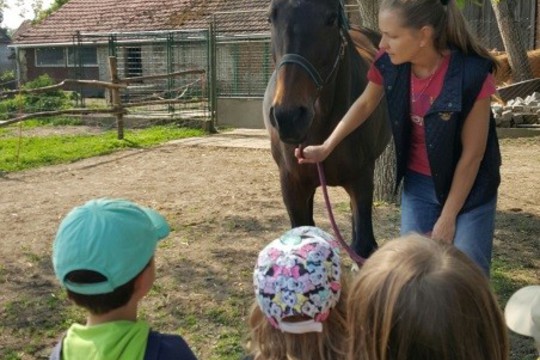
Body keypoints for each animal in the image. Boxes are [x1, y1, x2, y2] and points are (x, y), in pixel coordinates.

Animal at [264, 0, 390, 258]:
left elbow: (363, 245)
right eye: (271, 17)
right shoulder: (292, 185)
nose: (288, 117)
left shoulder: (362, 181)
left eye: (331, 18)